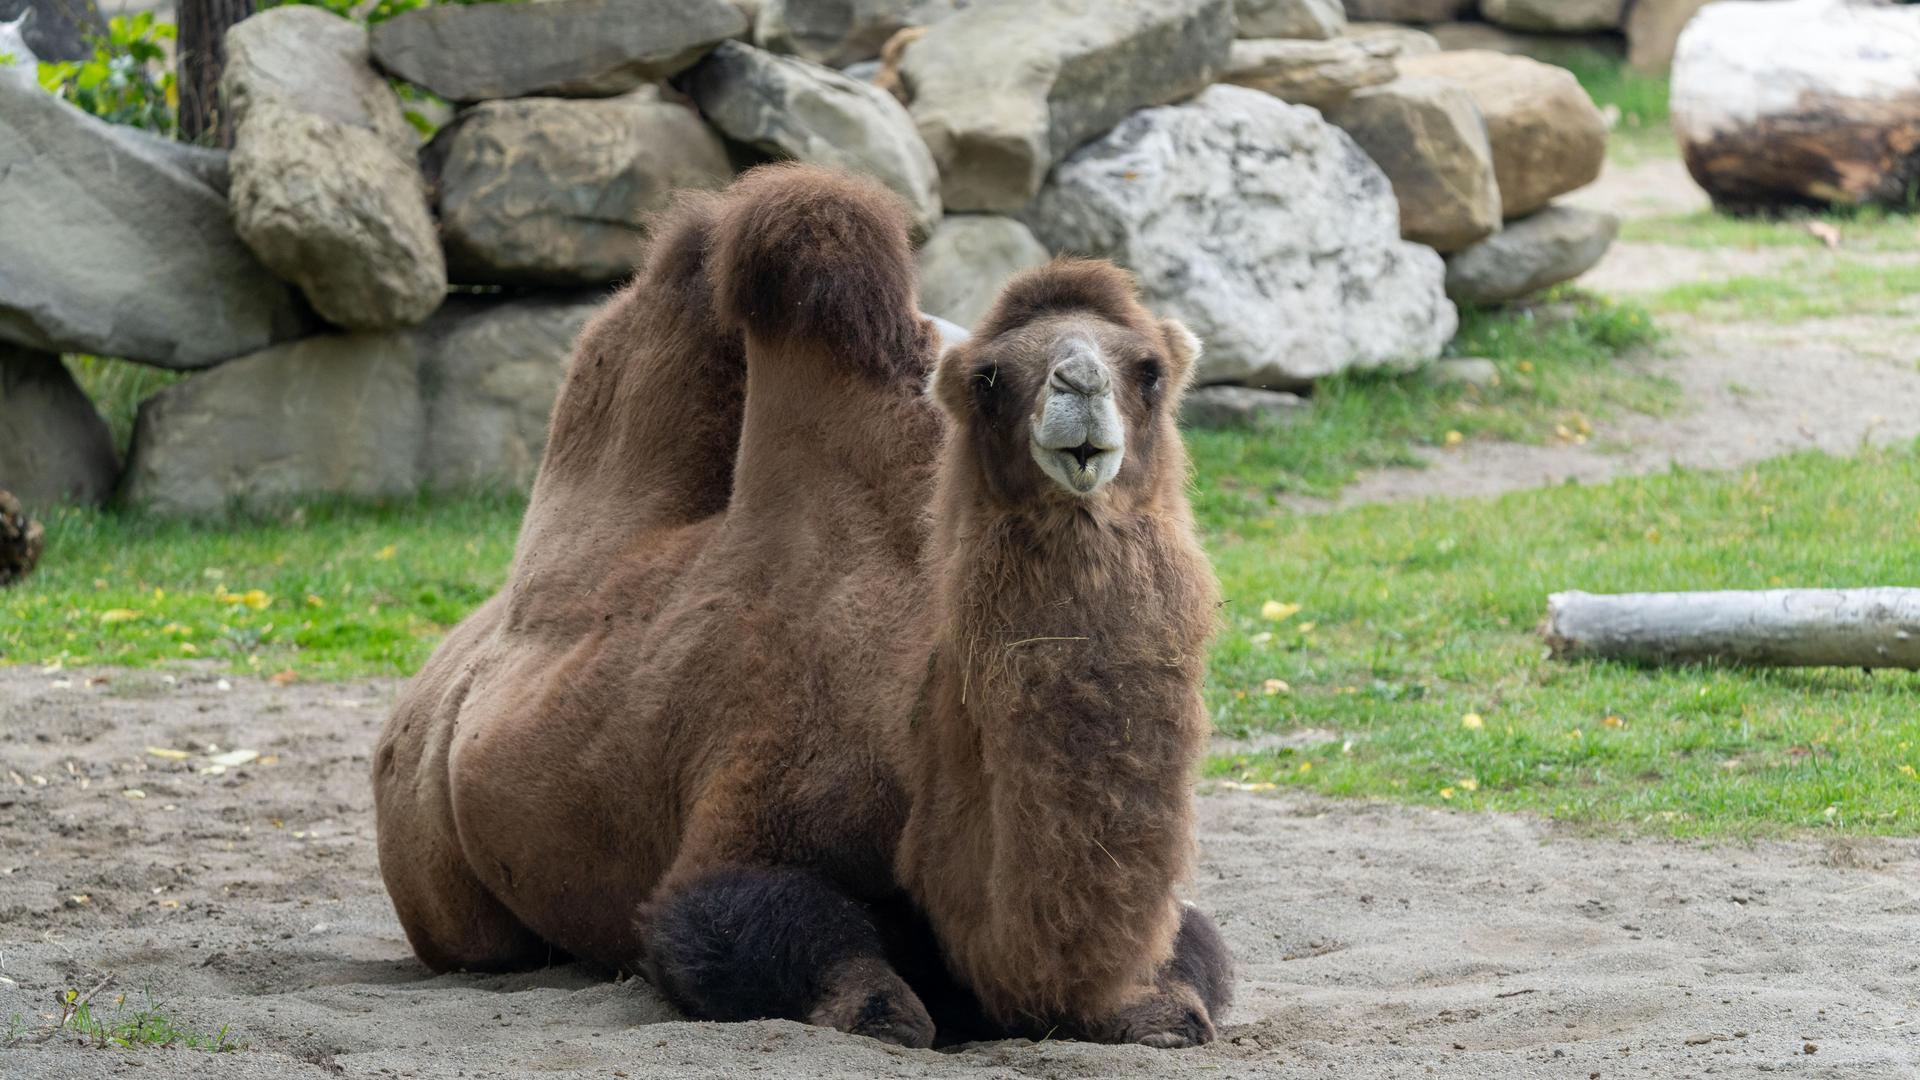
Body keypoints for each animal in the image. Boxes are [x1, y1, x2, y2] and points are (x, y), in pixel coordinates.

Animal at [373, 164, 1229, 1049]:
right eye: (990, 378)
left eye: (1148, 370)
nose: (1080, 386)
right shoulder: (750, 801)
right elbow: (758, 936)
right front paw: (886, 1004)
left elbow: (1195, 958)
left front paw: (1159, 1009)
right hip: (434, 871)